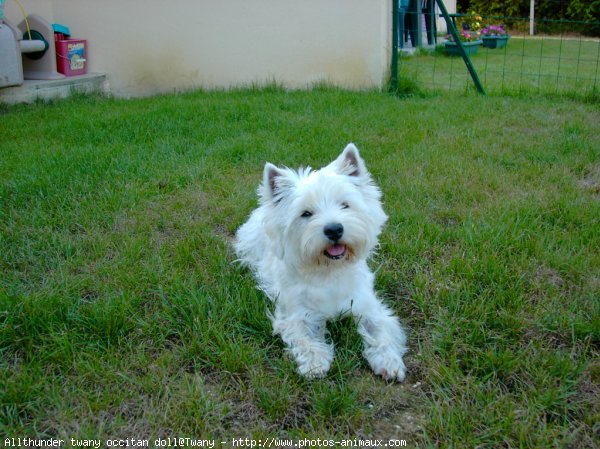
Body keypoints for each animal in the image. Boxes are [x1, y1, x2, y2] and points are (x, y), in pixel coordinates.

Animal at [236, 142, 408, 380]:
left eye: (345, 205)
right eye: (306, 213)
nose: (334, 229)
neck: (329, 271)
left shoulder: (368, 307)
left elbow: (380, 330)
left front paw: (389, 361)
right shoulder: (296, 313)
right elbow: (304, 338)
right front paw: (315, 363)